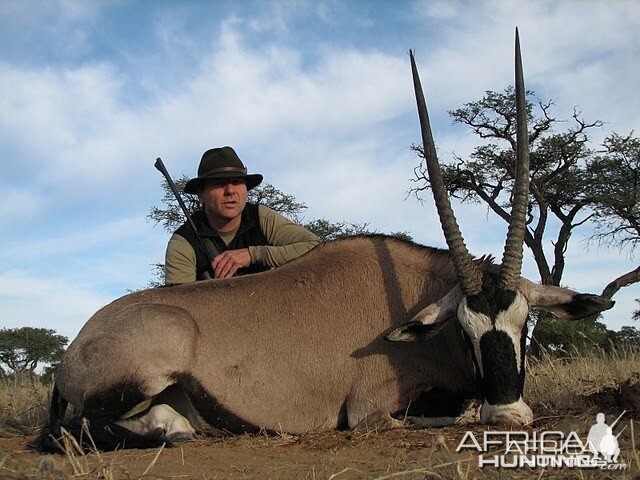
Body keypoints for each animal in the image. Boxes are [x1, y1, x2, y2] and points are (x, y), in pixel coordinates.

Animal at [42, 31, 612, 452]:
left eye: (523, 323)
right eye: (466, 328)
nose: (509, 414)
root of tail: (76, 346)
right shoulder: (369, 408)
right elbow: (447, 411)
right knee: (78, 430)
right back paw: (173, 432)